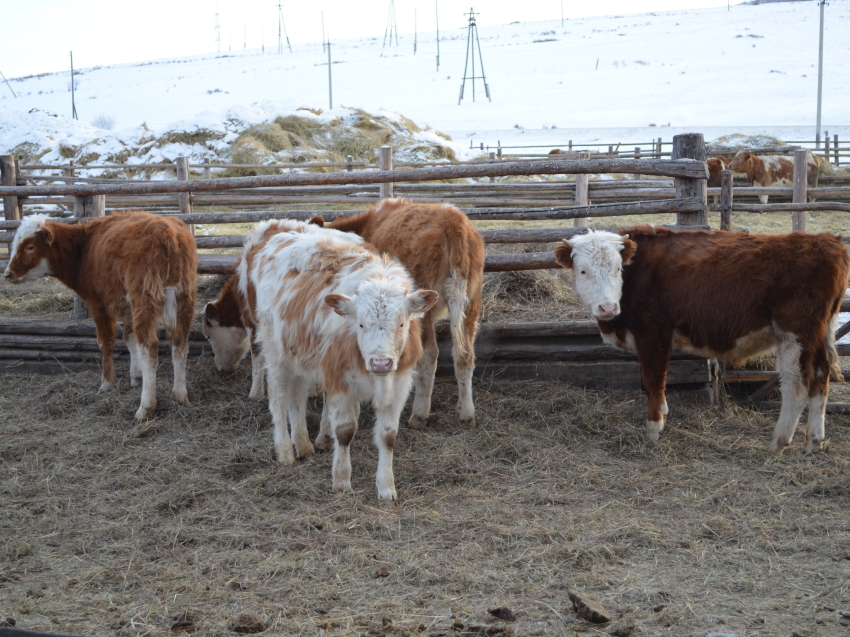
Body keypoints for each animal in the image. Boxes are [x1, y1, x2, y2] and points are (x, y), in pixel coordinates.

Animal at [2, 211, 197, 420]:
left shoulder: (98, 303)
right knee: (179, 341)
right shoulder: (127, 306)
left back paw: (145, 407)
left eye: (30, 247)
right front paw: (136, 376)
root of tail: (169, 232)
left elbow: (106, 342)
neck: (84, 249)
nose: (7, 273)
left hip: (144, 297)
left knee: (149, 345)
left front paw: (107, 383)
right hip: (185, 296)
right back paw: (180, 395)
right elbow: (129, 337)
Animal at [240, 221, 434, 500]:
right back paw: (285, 452)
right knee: (278, 397)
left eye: (401, 324)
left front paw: (386, 488)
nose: (380, 363)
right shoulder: (339, 380)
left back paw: (304, 444)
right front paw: (341, 480)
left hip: (299, 354)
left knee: (297, 396)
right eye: (360, 324)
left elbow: (388, 436)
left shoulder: (399, 382)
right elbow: (344, 431)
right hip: (275, 350)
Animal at [552, 225, 848, 452]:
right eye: (582, 271)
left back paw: (778, 442)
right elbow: (656, 383)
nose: (607, 307)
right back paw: (814, 441)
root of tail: (828, 241)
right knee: (821, 377)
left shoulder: (653, 335)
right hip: (817, 337)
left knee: (798, 385)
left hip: (795, 335)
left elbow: (653, 380)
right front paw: (663, 412)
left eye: (617, 269)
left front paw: (654, 429)